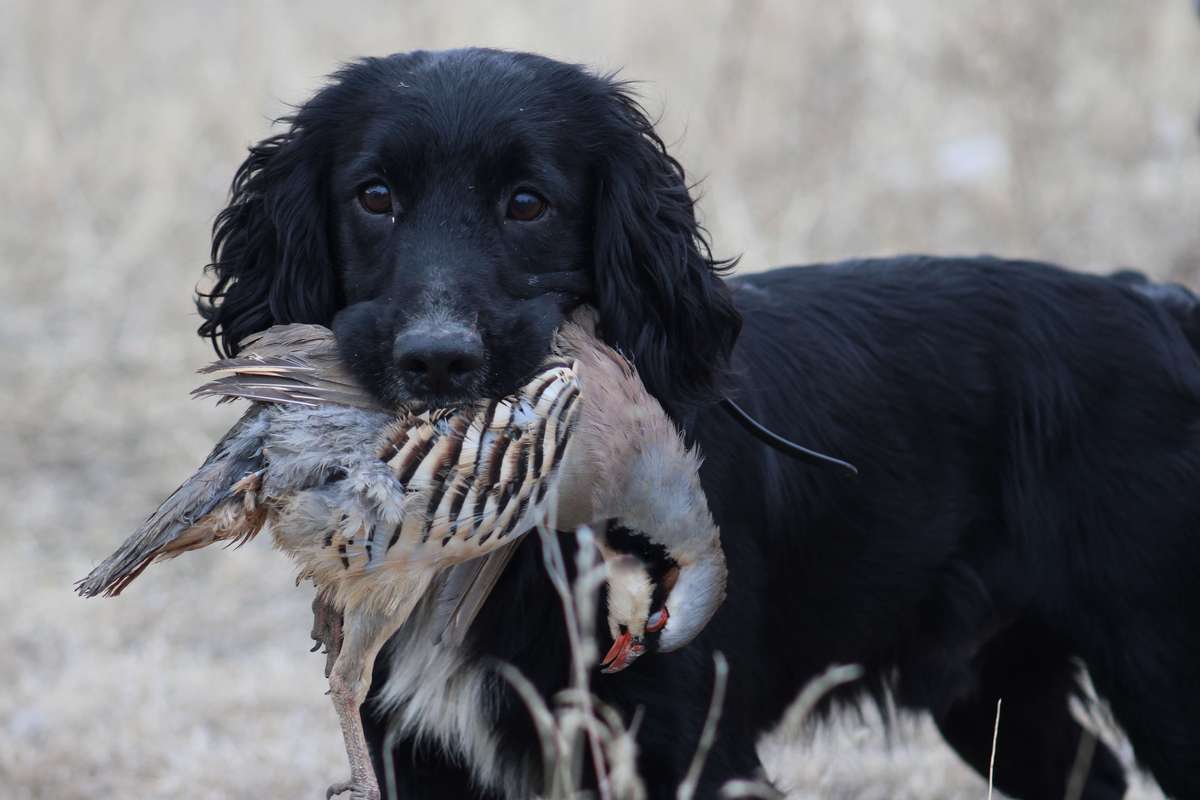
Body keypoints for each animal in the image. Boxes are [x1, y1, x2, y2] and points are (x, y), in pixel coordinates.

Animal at [196, 50, 1200, 800]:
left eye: (528, 203)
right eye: (374, 196)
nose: (438, 362)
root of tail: (1159, 304)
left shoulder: (684, 743)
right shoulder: (407, 744)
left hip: (1156, 664)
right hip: (998, 688)